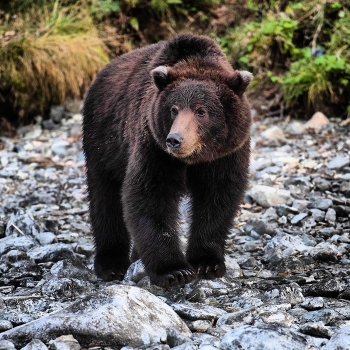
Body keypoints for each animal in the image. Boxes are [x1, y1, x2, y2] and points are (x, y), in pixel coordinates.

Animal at [82, 34, 252, 288]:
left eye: (201, 111)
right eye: (174, 109)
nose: (175, 140)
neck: (194, 159)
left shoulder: (226, 155)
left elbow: (218, 196)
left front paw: (207, 262)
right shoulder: (154, 147)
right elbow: (150, 195)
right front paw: (174, 270)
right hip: (104, 140)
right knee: (105, 197)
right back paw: (111, 264)